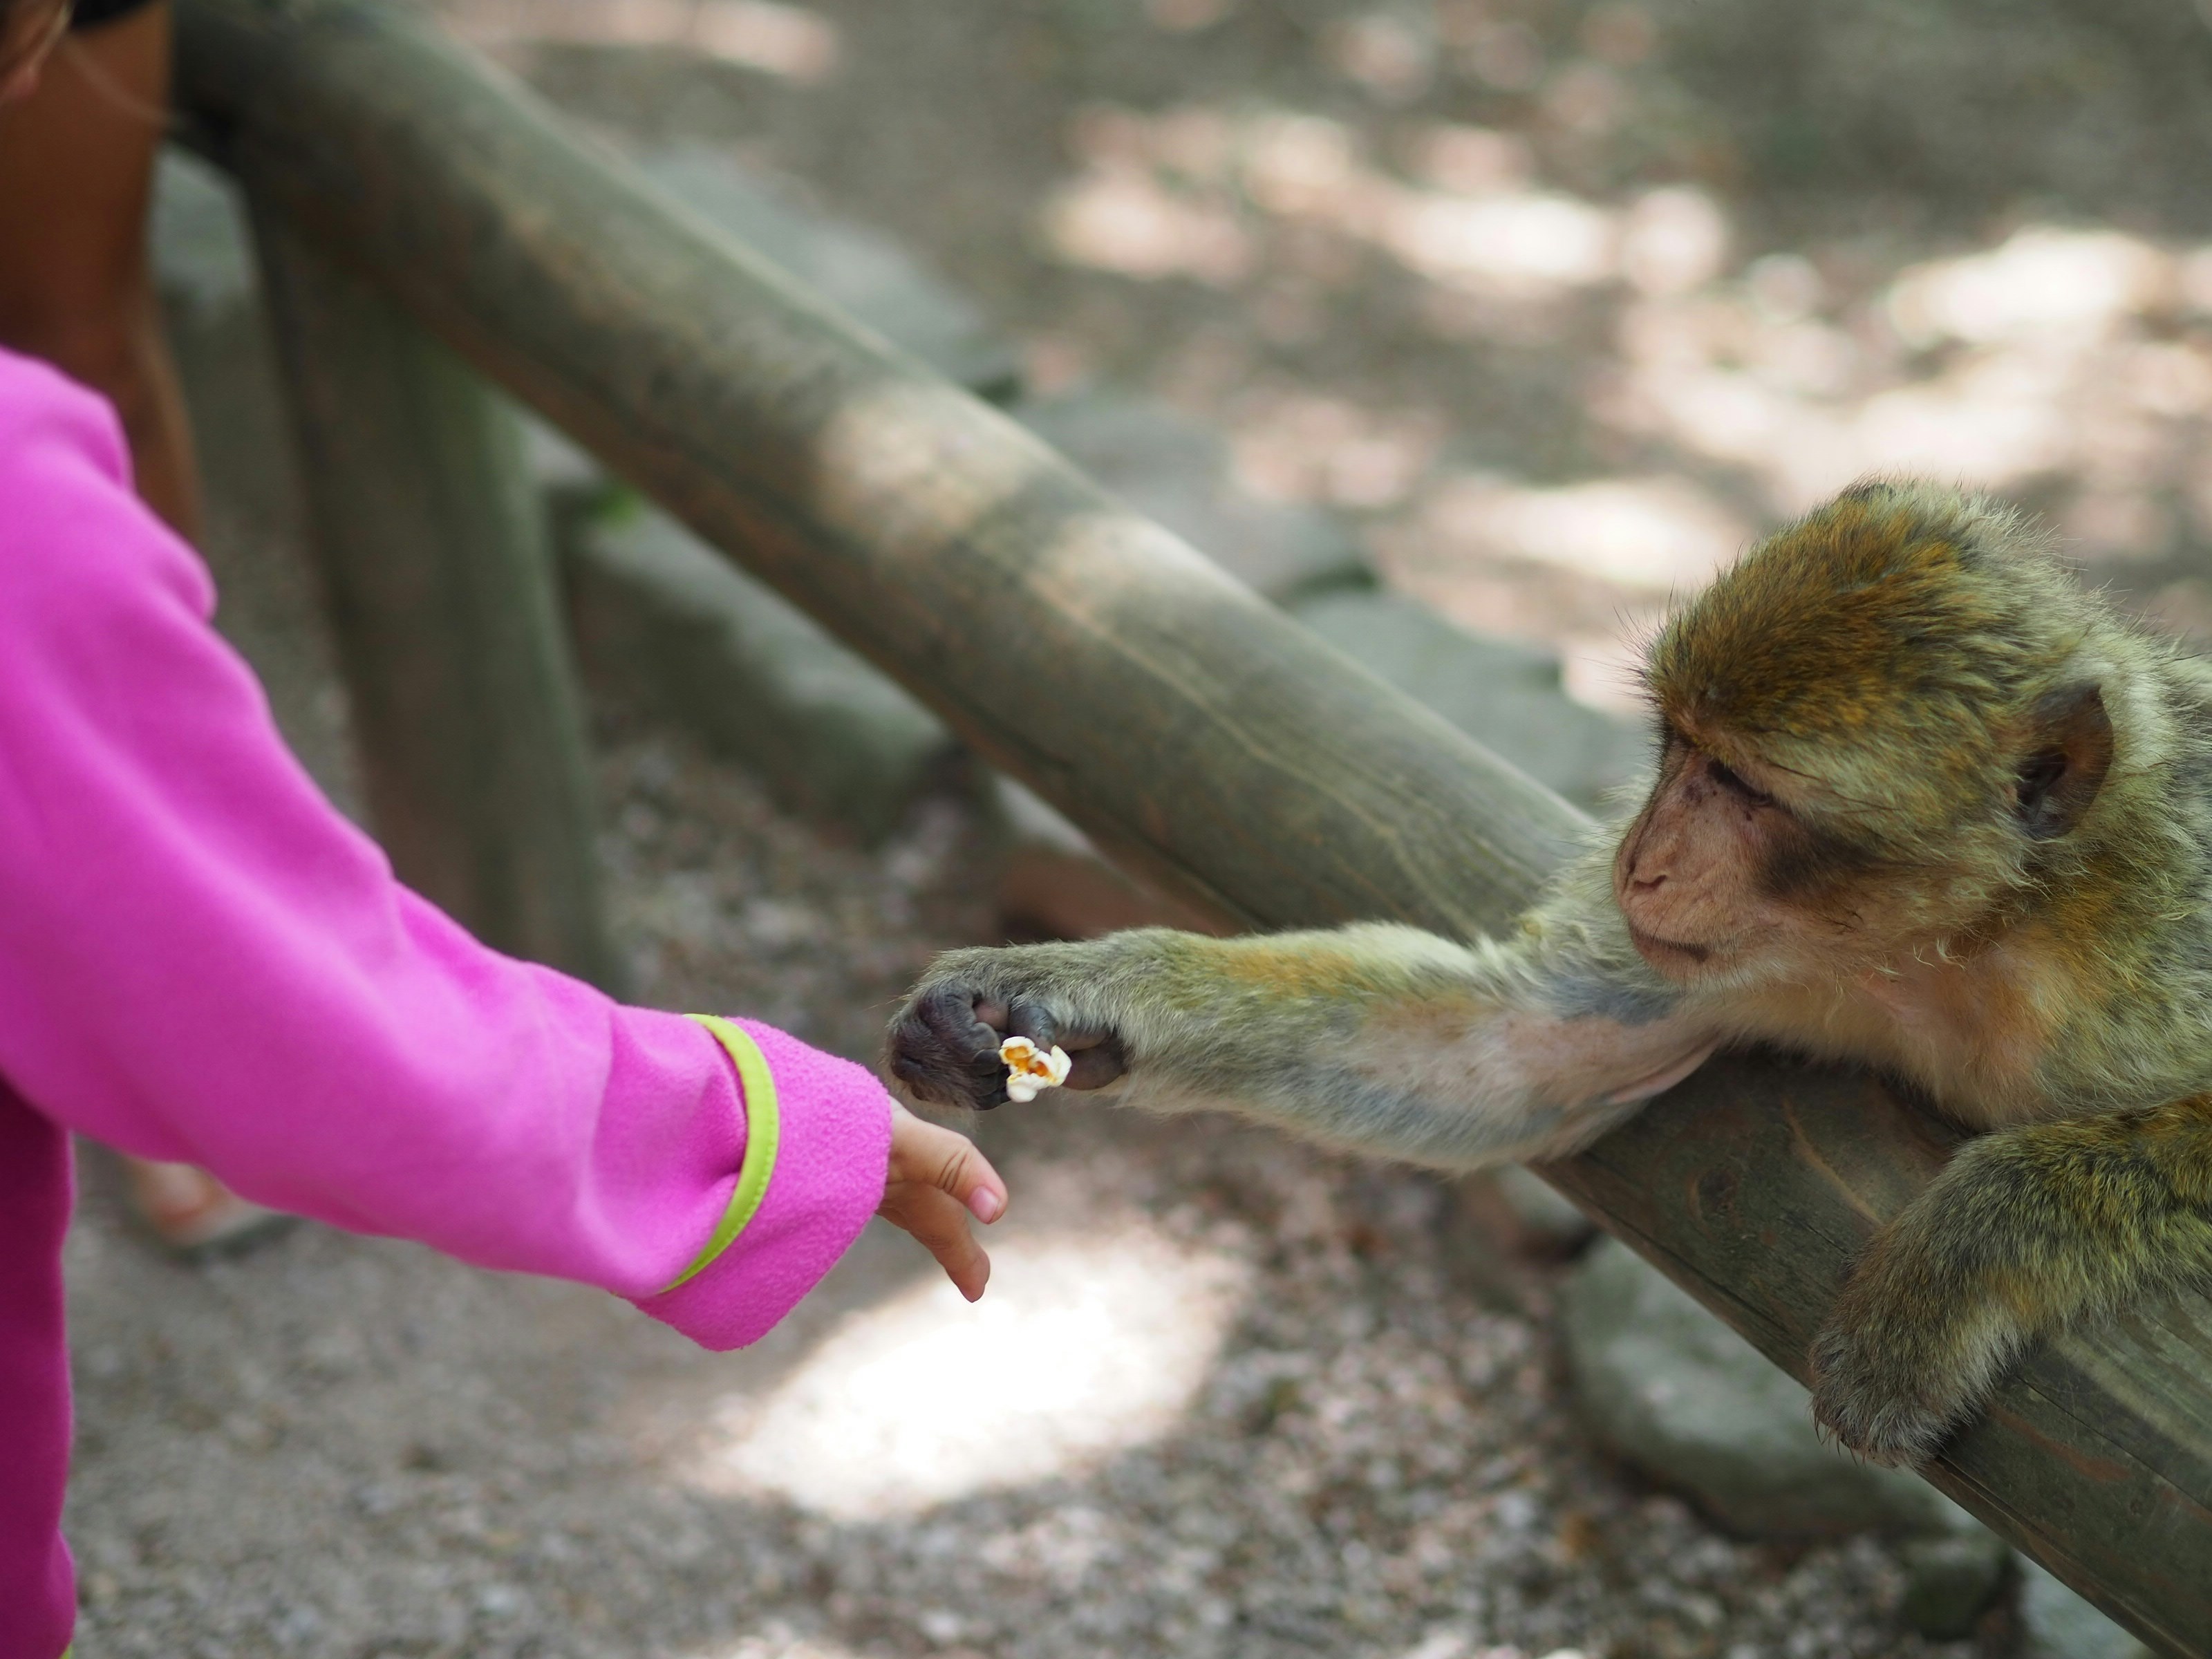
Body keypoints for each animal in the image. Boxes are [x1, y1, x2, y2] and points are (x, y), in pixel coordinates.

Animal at [887, 479, 2212, 1470]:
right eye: (1680, 748)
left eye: (1747, 789)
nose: (1643, 858)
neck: (1954, 941)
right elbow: (1514, 1047)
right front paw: (1068, 990)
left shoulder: (2147, 956)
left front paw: (1949, 1270)